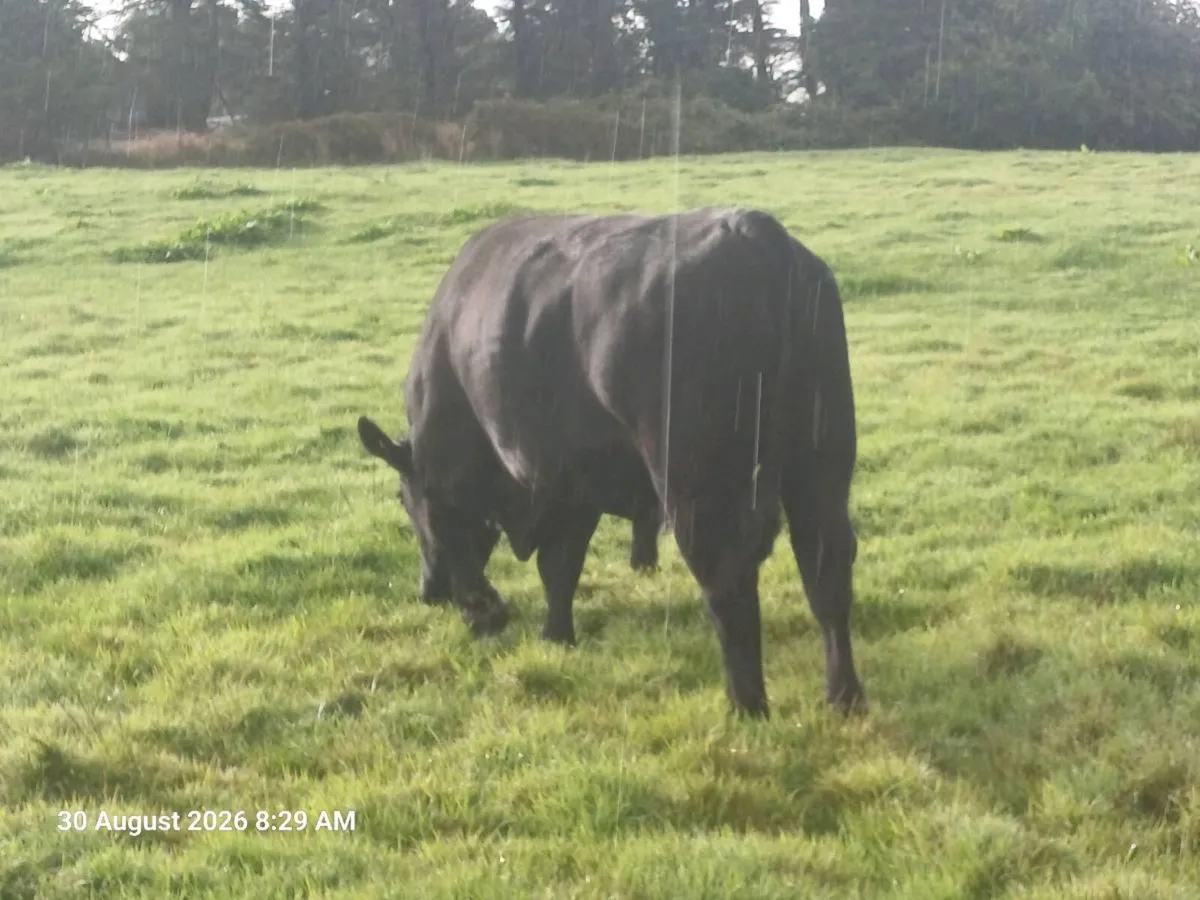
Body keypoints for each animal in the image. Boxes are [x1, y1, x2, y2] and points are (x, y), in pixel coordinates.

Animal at [357, 207, 863, 718]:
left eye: (402, 500)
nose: (428, 592)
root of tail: (752, 231)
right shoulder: (571, 485)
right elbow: (561, 567)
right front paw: (556, 636)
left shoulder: (453, 482)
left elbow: (467, 548)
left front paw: (487, 615)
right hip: (823, 462)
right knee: (826, 569)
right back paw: (844, 697)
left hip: (698, 486)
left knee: (728, 578)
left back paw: (747, 705)